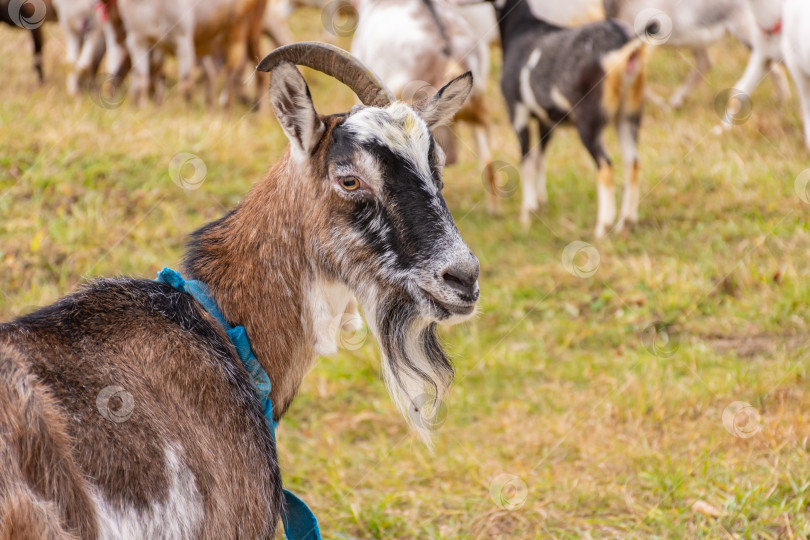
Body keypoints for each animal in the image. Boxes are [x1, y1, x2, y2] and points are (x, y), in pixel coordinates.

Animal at [486, 0, 644, 237]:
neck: (522, 30)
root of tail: (624, 45)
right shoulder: (546, 120)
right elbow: (540, 157)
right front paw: (541, 203)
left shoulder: (518, 111)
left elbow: (526, 160)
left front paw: (526, 214)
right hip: (628, 115)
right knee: (632, 162)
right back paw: (625, 224)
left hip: (589, 121)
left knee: (605, 166)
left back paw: (603, 226)